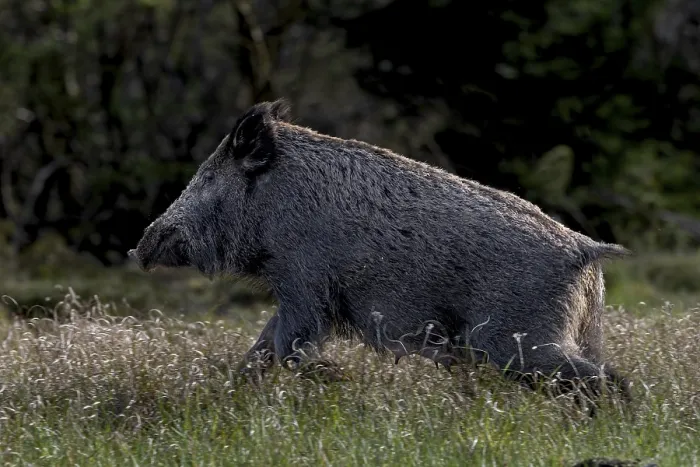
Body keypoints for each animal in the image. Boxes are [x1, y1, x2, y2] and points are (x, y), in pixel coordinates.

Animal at [129, 99, 631, 407]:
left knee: (606, 379)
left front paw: (338, 379)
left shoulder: (305, 284)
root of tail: (586, 251)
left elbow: (289, 346)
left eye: (208, 179)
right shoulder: (298, 293)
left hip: (518, 339)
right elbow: (263, 346)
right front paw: (234, 391)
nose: (139, 248)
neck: (276, 206)